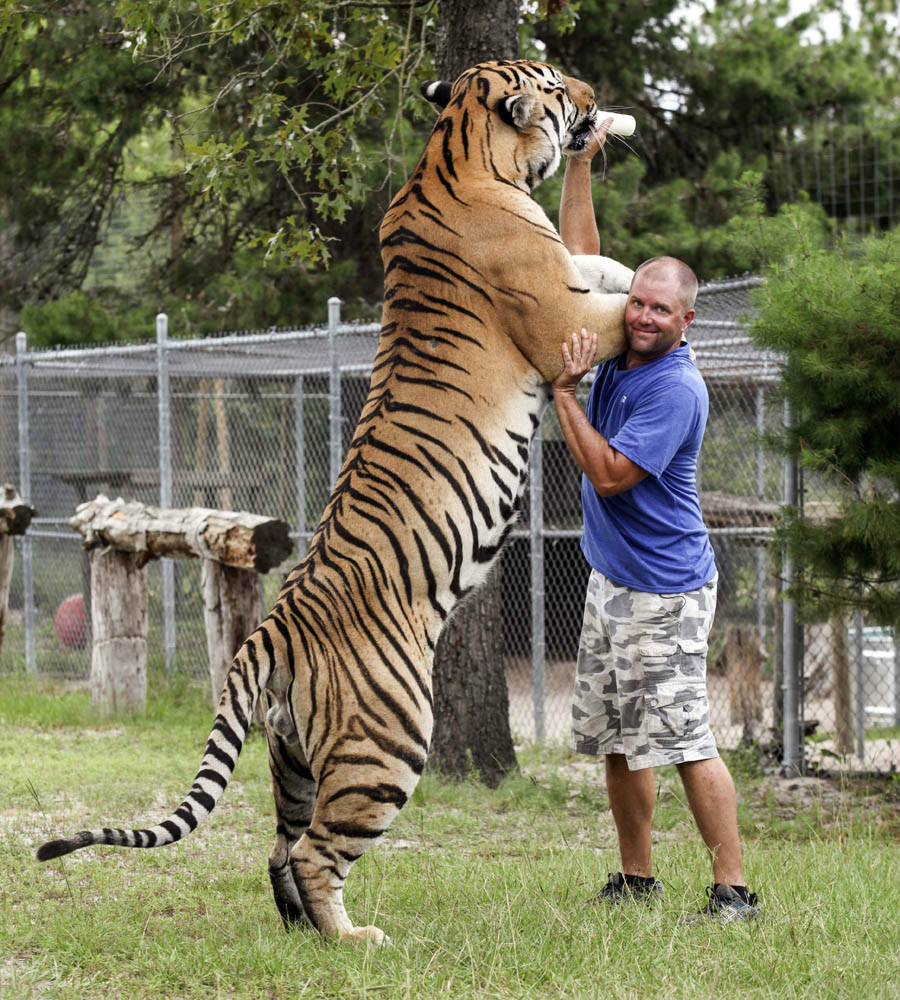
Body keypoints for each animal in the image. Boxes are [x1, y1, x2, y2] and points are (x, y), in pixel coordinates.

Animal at [37, 62, 632, 944]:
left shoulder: (569, 275)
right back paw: (353, 939)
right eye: (559, 85)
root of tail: (268, 633)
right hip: (388, 744)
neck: (456, 152)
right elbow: (617, 303)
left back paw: (303, 935)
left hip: (293, 759)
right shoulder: (561, 316)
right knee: (318, 852)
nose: (595, 99)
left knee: (280, 846)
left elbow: (604, 266)